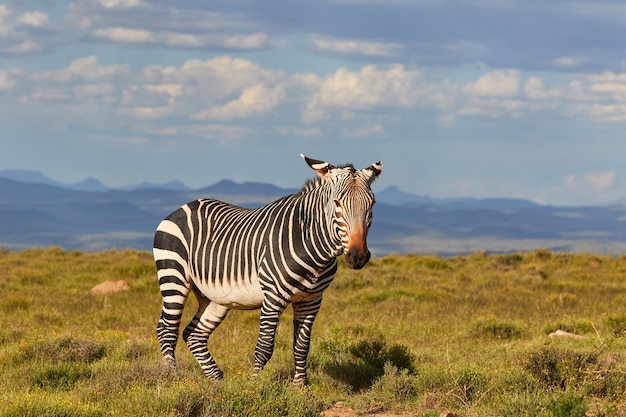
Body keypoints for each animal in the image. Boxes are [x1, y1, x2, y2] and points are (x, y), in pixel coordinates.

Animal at [152, 154, 380, 384]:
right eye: (337, 202)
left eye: (372, 203)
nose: (358, 256)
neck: (313, 248)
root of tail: (183, 207)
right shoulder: (273, 296)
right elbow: (264, 347)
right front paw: (255, 386)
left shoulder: (311, 300)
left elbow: (301, 346)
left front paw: (301, 387)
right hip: (174, 276)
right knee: (167, 329)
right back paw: (173, 378)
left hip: (215, 297)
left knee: (193, 334)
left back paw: (217, 381)